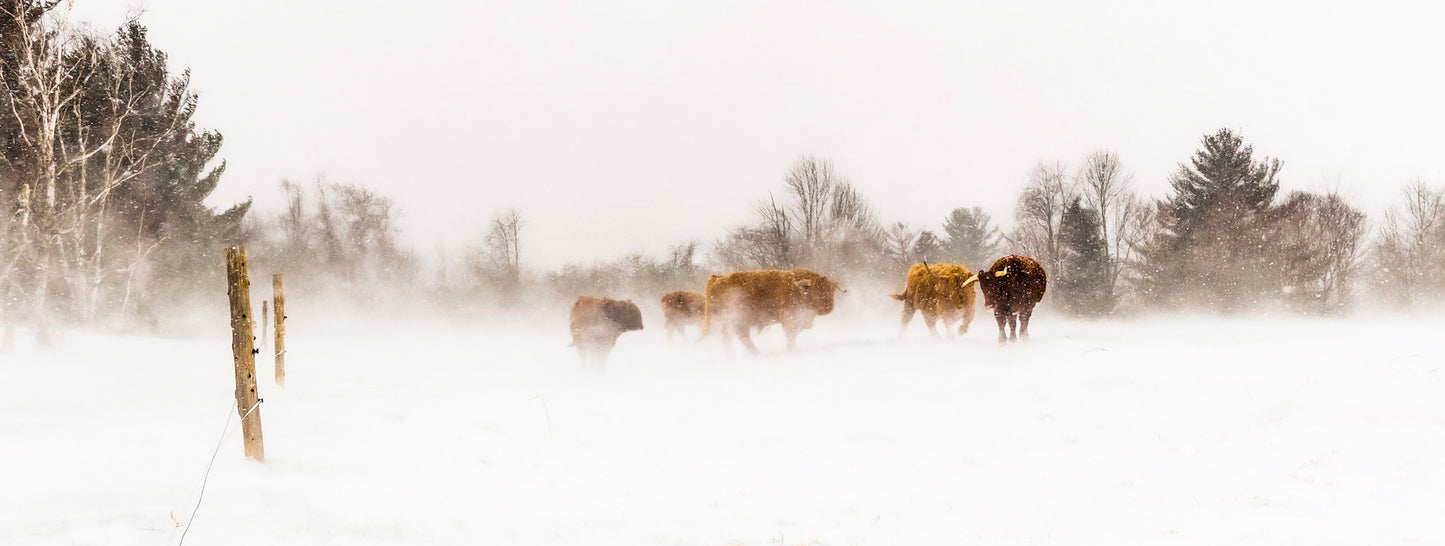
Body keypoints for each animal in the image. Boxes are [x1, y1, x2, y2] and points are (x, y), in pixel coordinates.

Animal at [699, 268, 841, 355]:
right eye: (818, 291)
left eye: (831, 290)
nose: (829, 307)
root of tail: (717, 278)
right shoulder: (789, 320)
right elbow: (790, 336)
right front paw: (792, 350)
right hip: (737, 320)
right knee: (741, 338)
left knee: (730, 339)